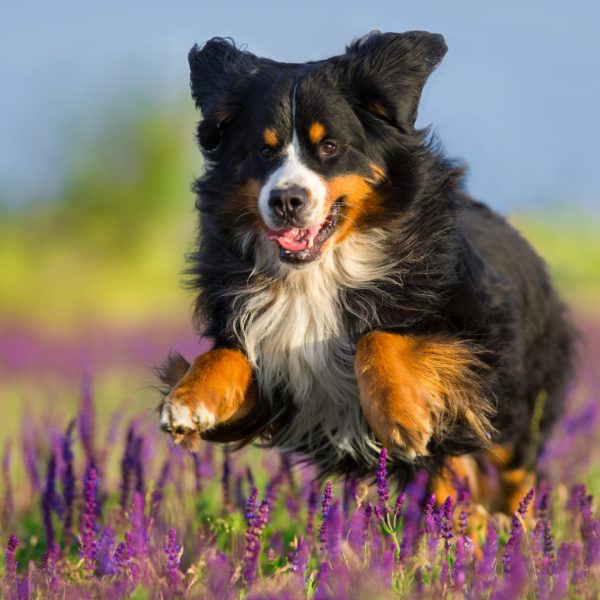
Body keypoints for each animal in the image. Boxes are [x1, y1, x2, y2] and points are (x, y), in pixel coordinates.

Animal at [157, 30, 576, 512]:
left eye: (330, 146)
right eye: (263, 150)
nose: (286, 200)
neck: (318, 273)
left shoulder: (475, 340)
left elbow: (375, 338)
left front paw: (401, 415)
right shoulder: (275, 375)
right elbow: (227, 353)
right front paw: (186, 401)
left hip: (518, 409)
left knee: (512, 474)